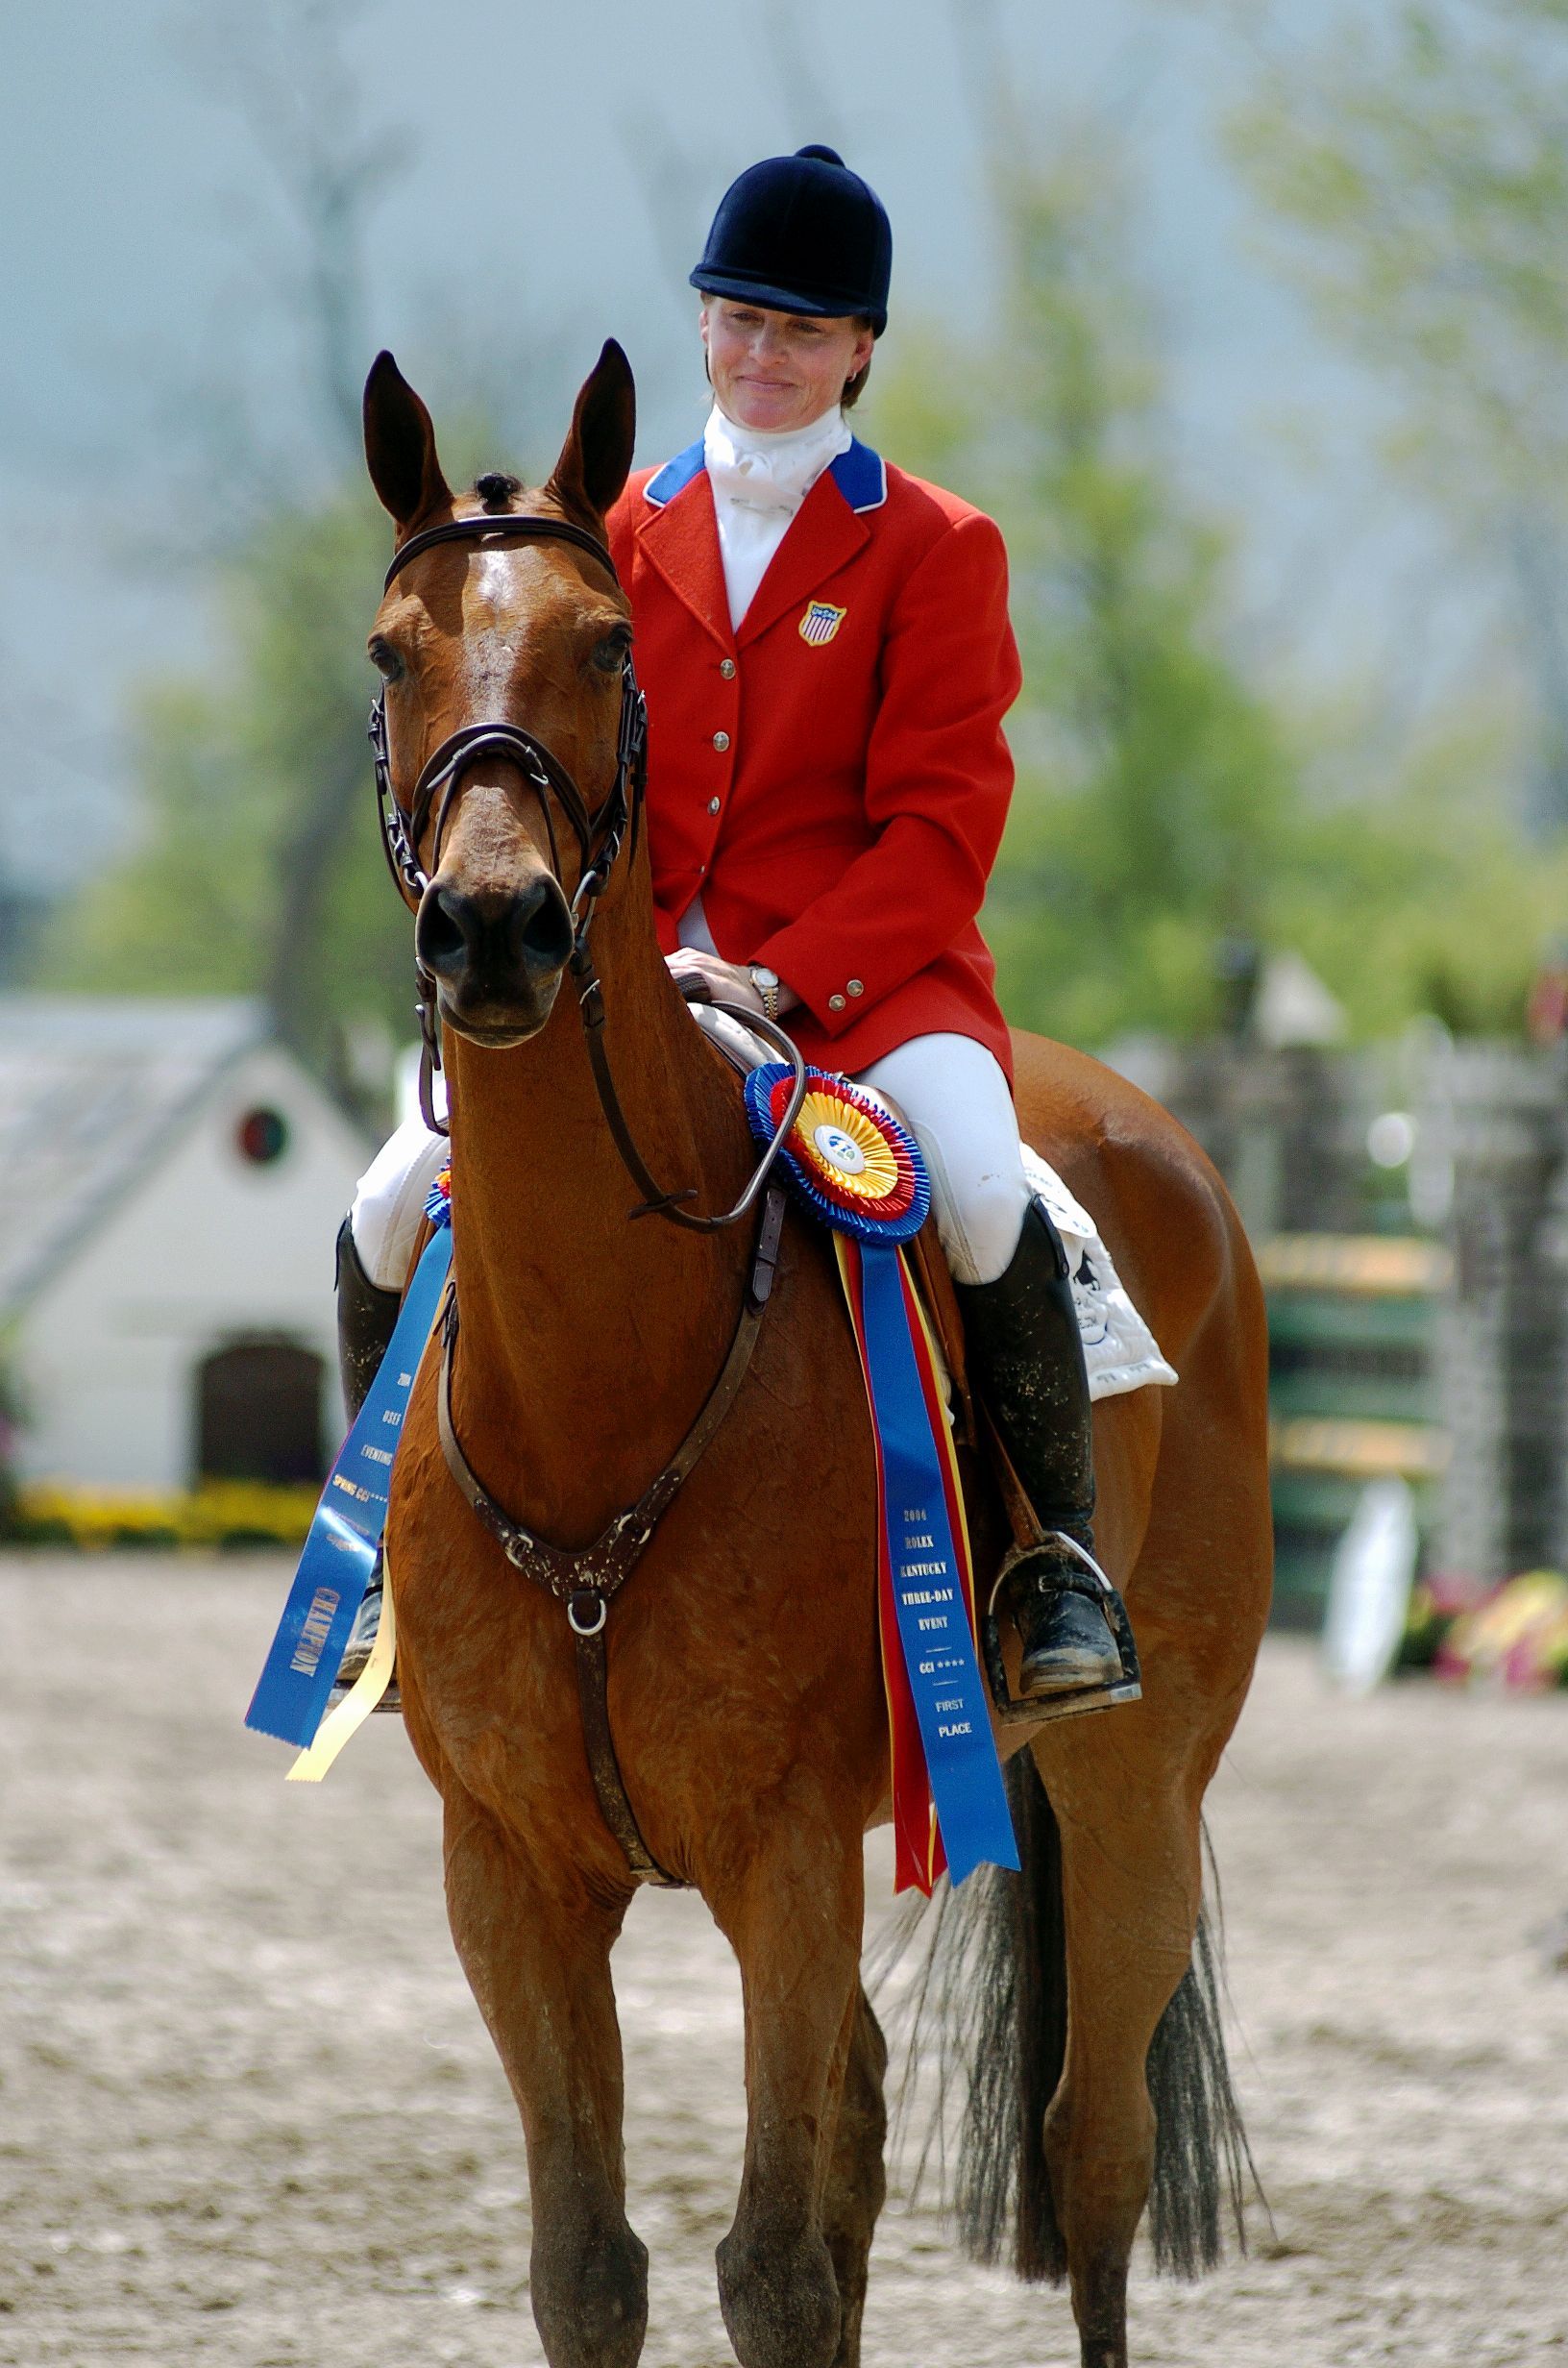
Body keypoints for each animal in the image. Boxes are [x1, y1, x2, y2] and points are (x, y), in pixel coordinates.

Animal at [363, 337, 1273, 2368]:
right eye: (388, 650)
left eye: (605, 644)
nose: (491, 931)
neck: (603, 1375)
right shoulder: (504, 1873)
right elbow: (591, 2263)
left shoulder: (781, 1849)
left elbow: (768, 2258)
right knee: (861, 2125)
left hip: (1138, 1770)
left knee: (1088, 2149)